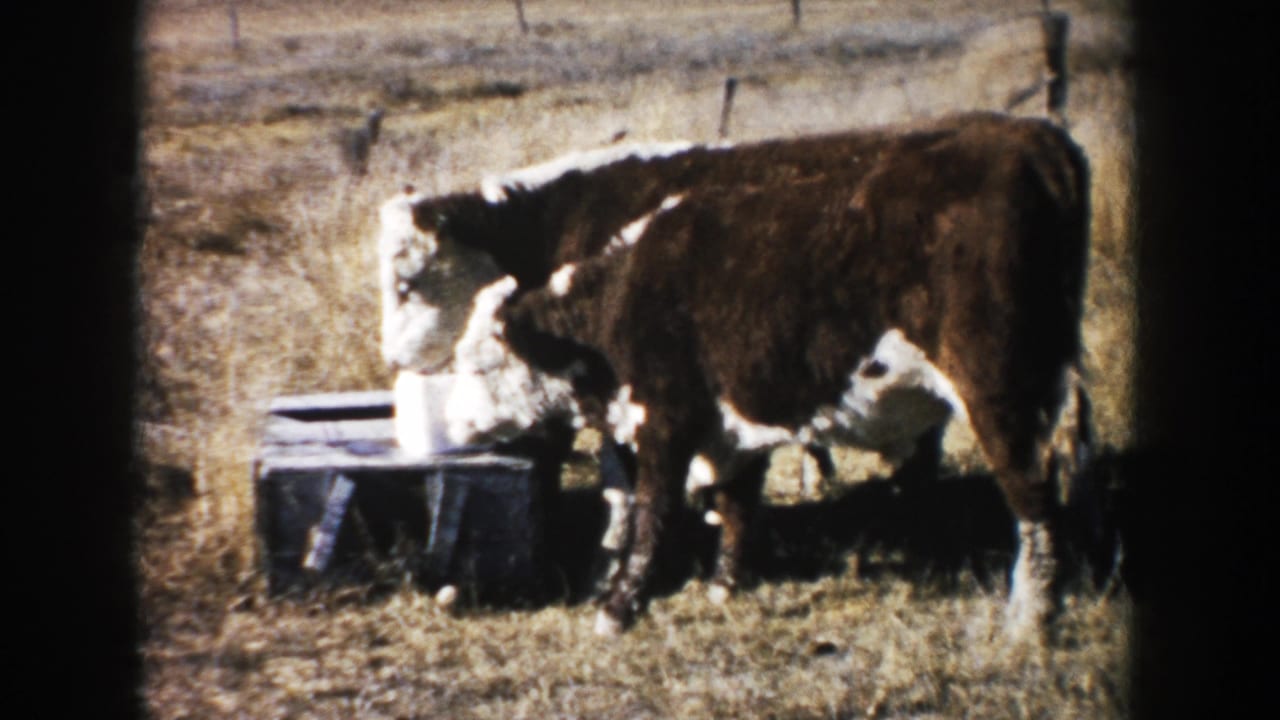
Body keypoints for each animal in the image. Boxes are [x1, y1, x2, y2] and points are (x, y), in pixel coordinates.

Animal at [423, 112, 1094, 639]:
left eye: (480, 362)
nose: (445, 423)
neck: (623, 295)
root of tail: (1039, 141)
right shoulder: (727, 428)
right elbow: (734, 503)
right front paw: (724, 584)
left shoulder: (665, 419)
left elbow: (652, 512)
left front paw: (619, 606)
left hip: (1000, 392)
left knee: (1033, 496)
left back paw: (1029, 623)